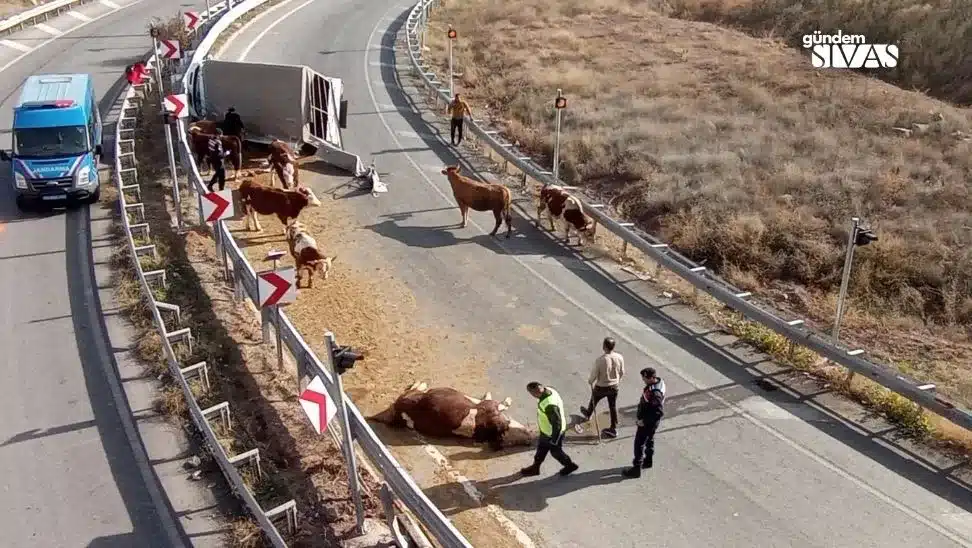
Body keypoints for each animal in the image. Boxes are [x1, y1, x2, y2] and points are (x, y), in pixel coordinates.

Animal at [368, 382, 532, 450]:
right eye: (511, 434)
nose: (530, 440)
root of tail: (397, 410)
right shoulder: (490, 405)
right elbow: (499, 402)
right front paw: (506, 399)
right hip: (413, 395)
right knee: (412, 389)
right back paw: (421, 383)